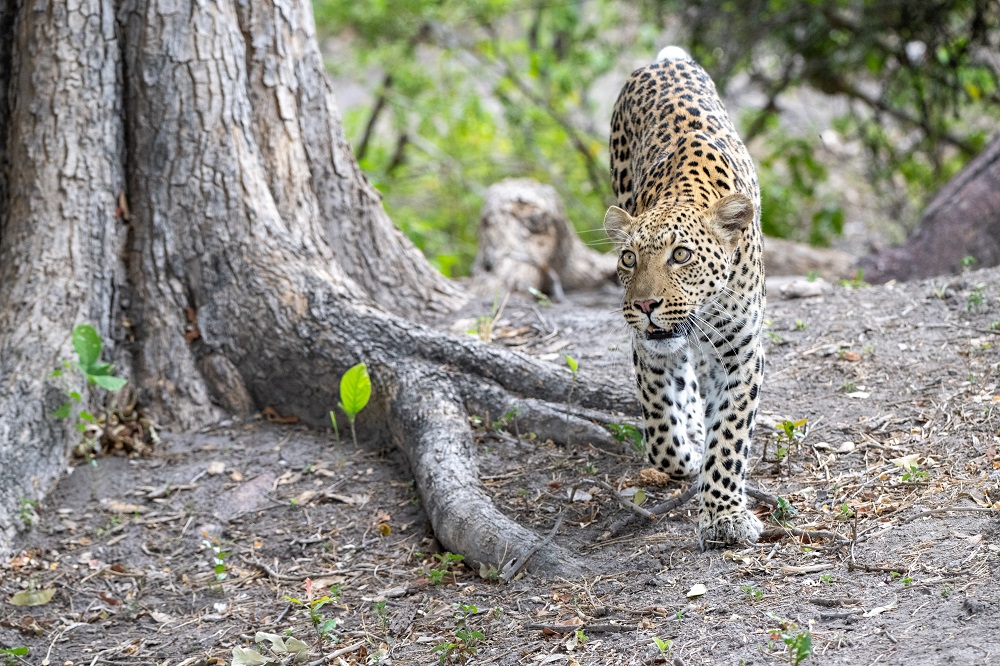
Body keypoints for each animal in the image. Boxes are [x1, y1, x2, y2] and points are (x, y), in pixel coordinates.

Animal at [604, 46, 765, 549]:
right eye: (629, 259)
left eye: (681, 256)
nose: (645, 306)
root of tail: (663, 60)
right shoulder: (647, 348)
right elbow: (660, 426)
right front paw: (688, 457)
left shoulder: (742, 351)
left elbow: (730, 435)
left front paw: (723, 515)